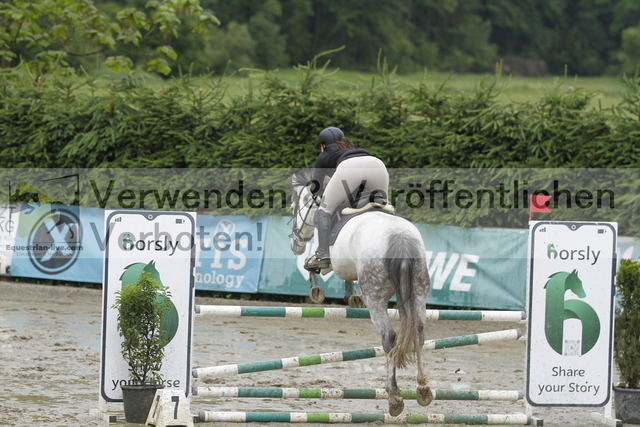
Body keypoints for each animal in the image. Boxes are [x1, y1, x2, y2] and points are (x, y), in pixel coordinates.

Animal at [289, 170, 433, 416]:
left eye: (294, 206)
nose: (295, 244)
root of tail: (400, 239)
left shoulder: (332, 262)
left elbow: (315, 264)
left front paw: (316, 289)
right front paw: (350, 296)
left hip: (375, 297)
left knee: (389, 338)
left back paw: (394, 397)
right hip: (418, 293)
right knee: (419, 333)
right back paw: (423, 389)